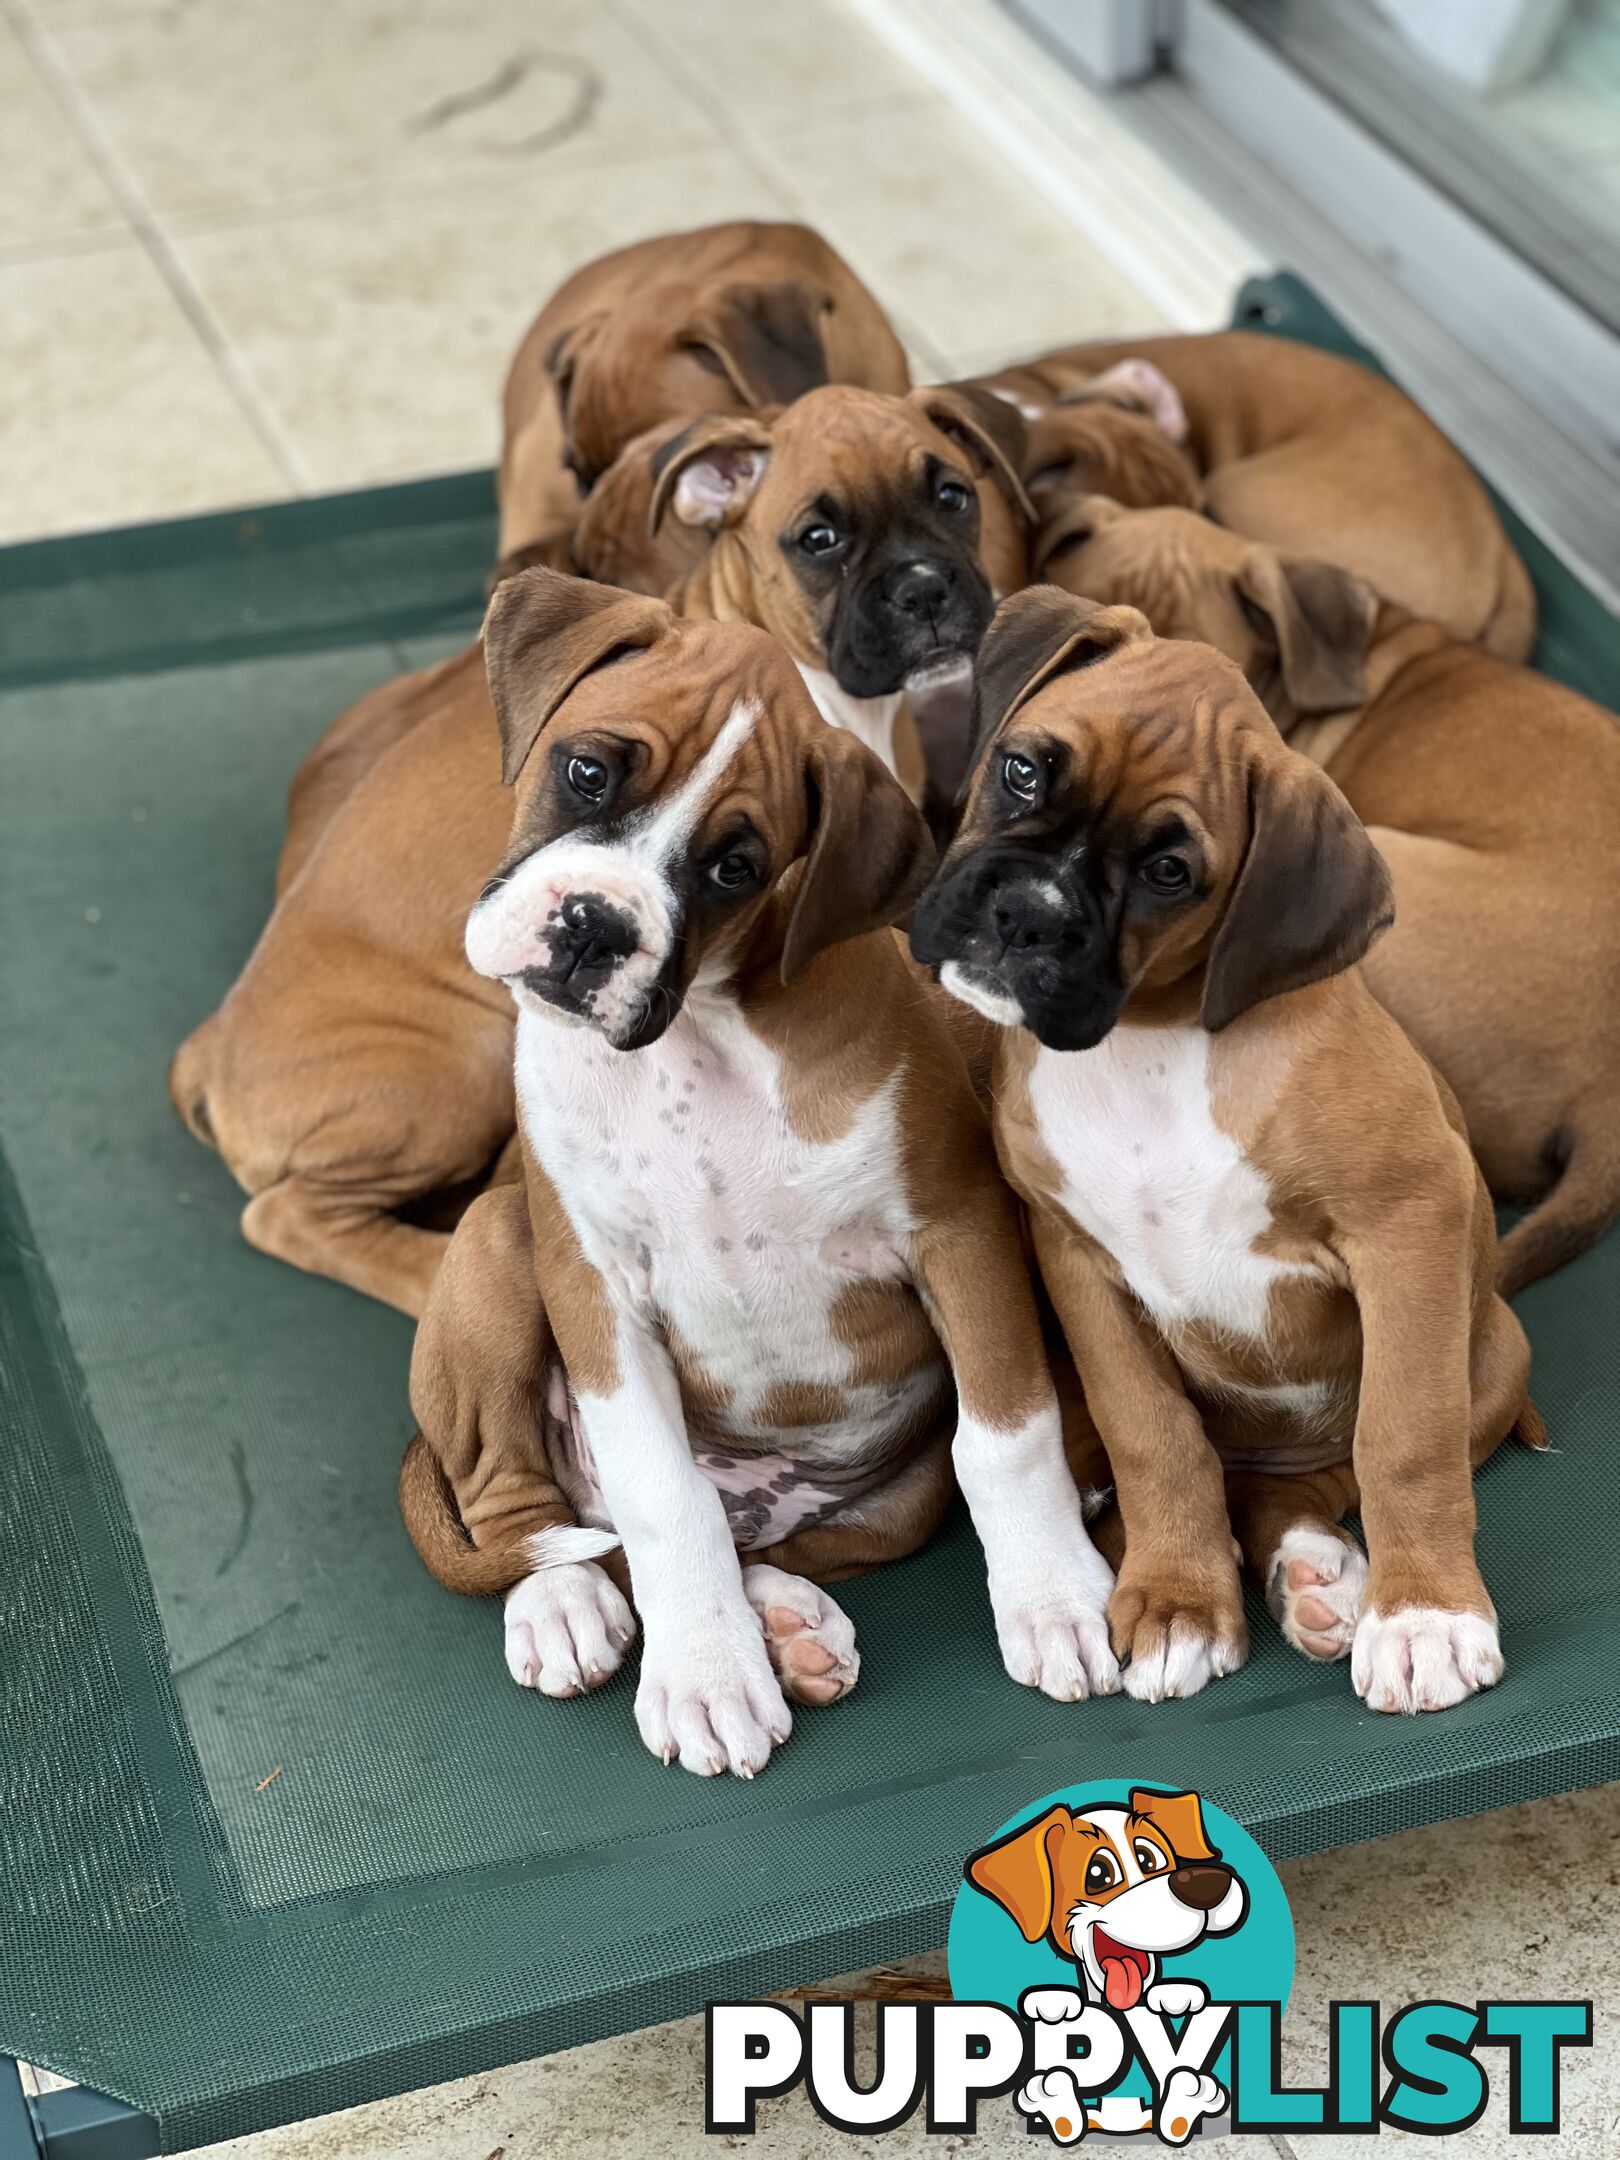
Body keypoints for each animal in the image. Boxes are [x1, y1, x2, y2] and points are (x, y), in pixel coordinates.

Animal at [399, 570, 1123, 1771]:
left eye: (734, 867)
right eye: (586, 772)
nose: (593, 926)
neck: (703, 1036)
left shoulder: (961, 1230)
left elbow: (1007, 1441)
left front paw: (1055, 1598)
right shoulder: (594, 1282)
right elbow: (662, 1495)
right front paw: (703, 1674)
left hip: (890, 1508)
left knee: (753, 1543)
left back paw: (783, 1618)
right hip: (498, 1243)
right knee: (527, 1509)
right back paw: (572, 1608)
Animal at [915, 587, 1537, 1702]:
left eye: (1170, 872)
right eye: (1021, 769)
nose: (1025, 916)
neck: (1146, 1048)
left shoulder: (1408, 1223)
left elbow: (1403, 1436)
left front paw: (1424, 1615)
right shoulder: (1077, 1261)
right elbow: (1152, 1435)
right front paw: (1176, 1600)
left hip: (1496, 1352)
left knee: (1329, 1473)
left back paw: (1321, 1568)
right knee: (1195, 1475)